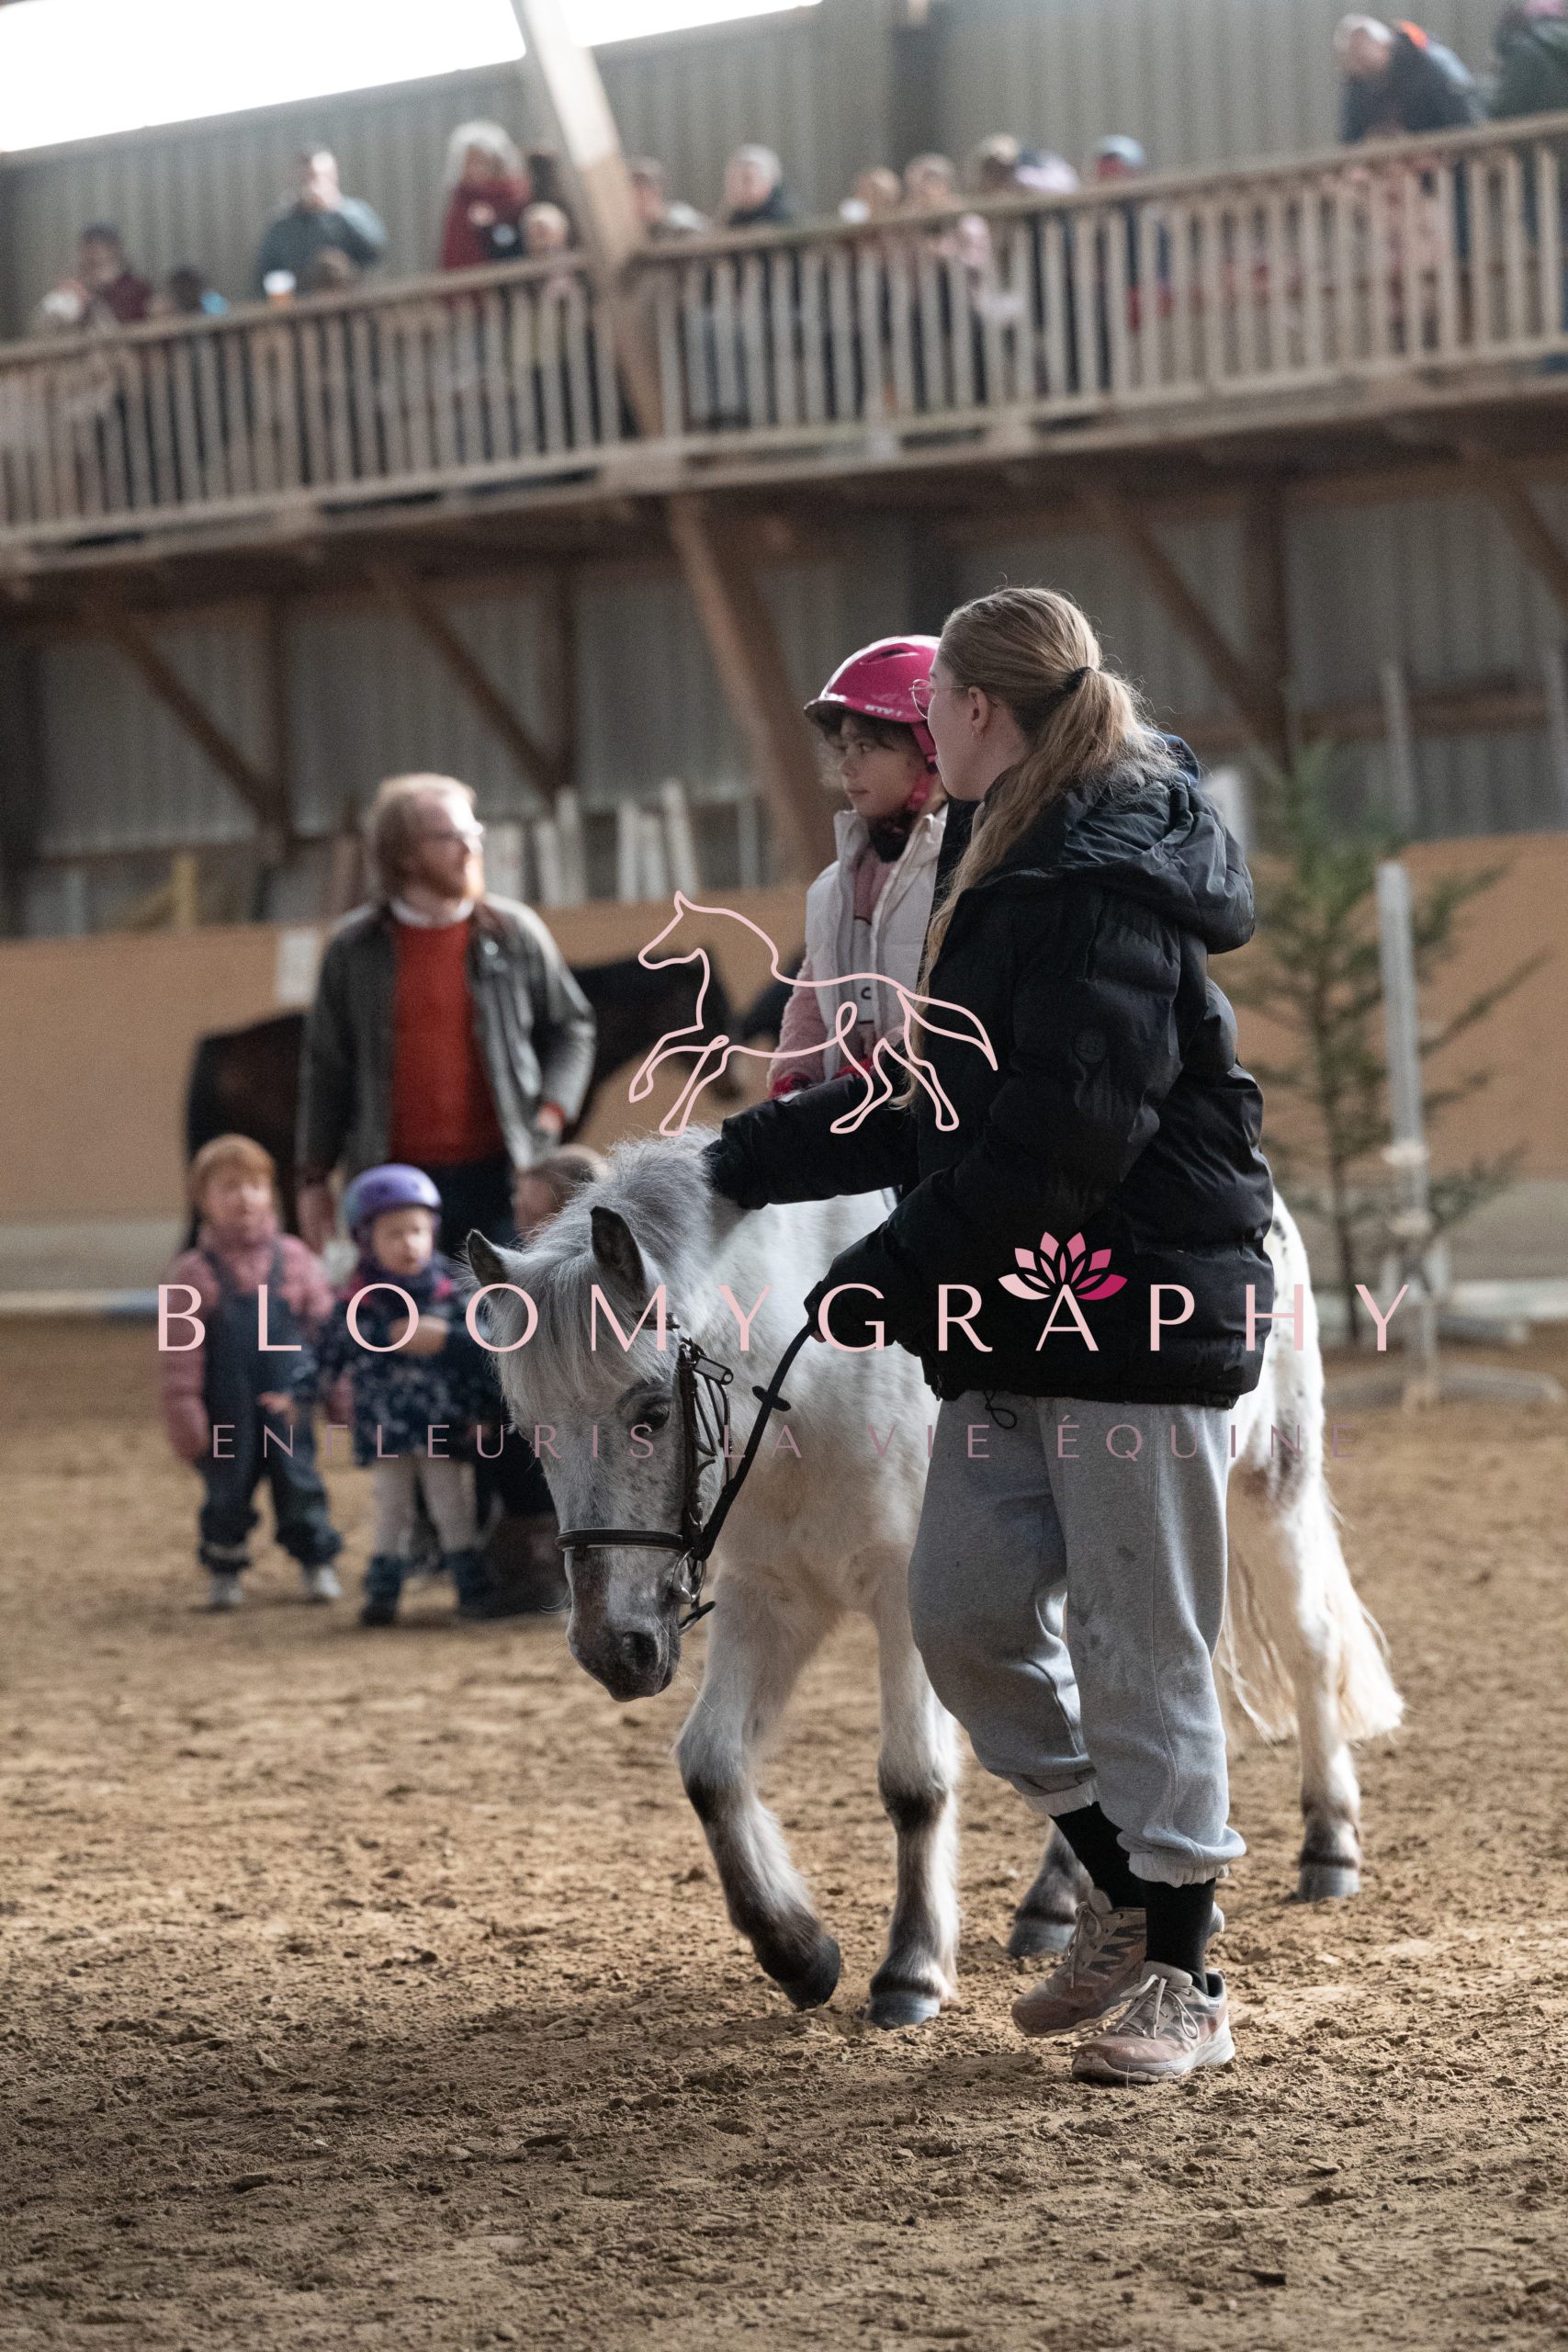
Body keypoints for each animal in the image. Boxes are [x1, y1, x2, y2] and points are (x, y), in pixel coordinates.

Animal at [468, 1132, 1403, 2022]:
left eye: (652, 1411)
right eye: (529, 1430)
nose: (610, 1649)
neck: (815, 1390)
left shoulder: (900, 1597)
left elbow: (913, 1783)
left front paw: (909, 1971)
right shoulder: (769, 1599)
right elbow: (709, 1766)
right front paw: (796, 1951)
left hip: (1267, 1486)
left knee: (1310, 1647)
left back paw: (1327, 1846)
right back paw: (1058, 1905)